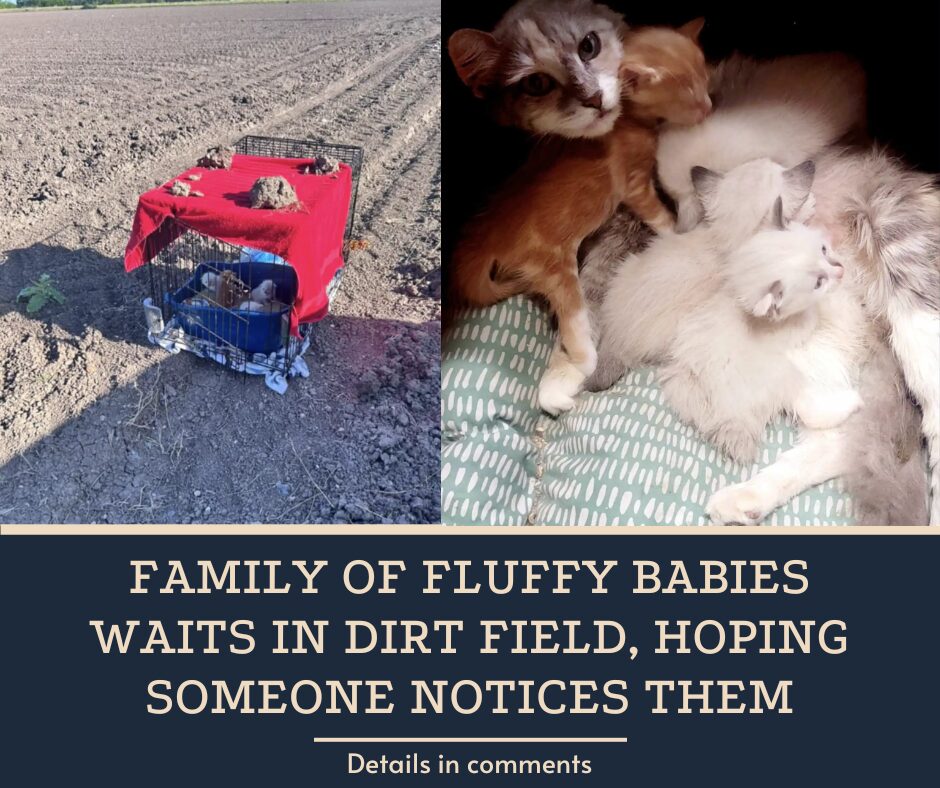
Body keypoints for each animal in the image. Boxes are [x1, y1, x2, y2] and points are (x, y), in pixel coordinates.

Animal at [452, 20, 708, 384]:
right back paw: (583, 360)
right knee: (571, 317)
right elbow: (658, 216)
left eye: (705, 77)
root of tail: (486, 235)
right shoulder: (634, 183)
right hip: (554, 267)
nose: (709, 106)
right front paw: (675, 233)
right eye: (687, 95)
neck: (624, 118)